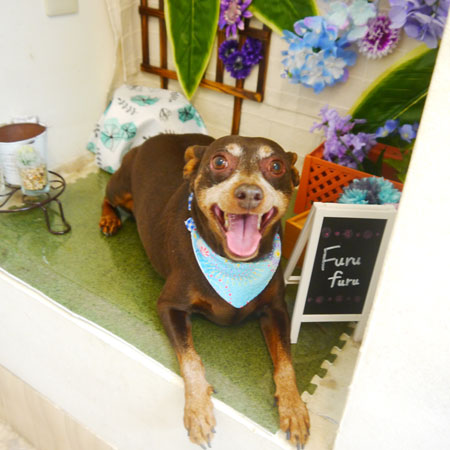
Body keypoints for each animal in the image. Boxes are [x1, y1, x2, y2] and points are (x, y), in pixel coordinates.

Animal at [99, 134, 310, 448]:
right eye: (219, 161)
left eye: (276, 166)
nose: (250, 193)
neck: (234, 267)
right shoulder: (169, 305)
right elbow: (191, 359)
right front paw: (198, 411)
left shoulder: (276, 309)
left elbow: (286, 361)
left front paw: (294, 408)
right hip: (120, 187)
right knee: (106, 195)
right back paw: (109, 219)